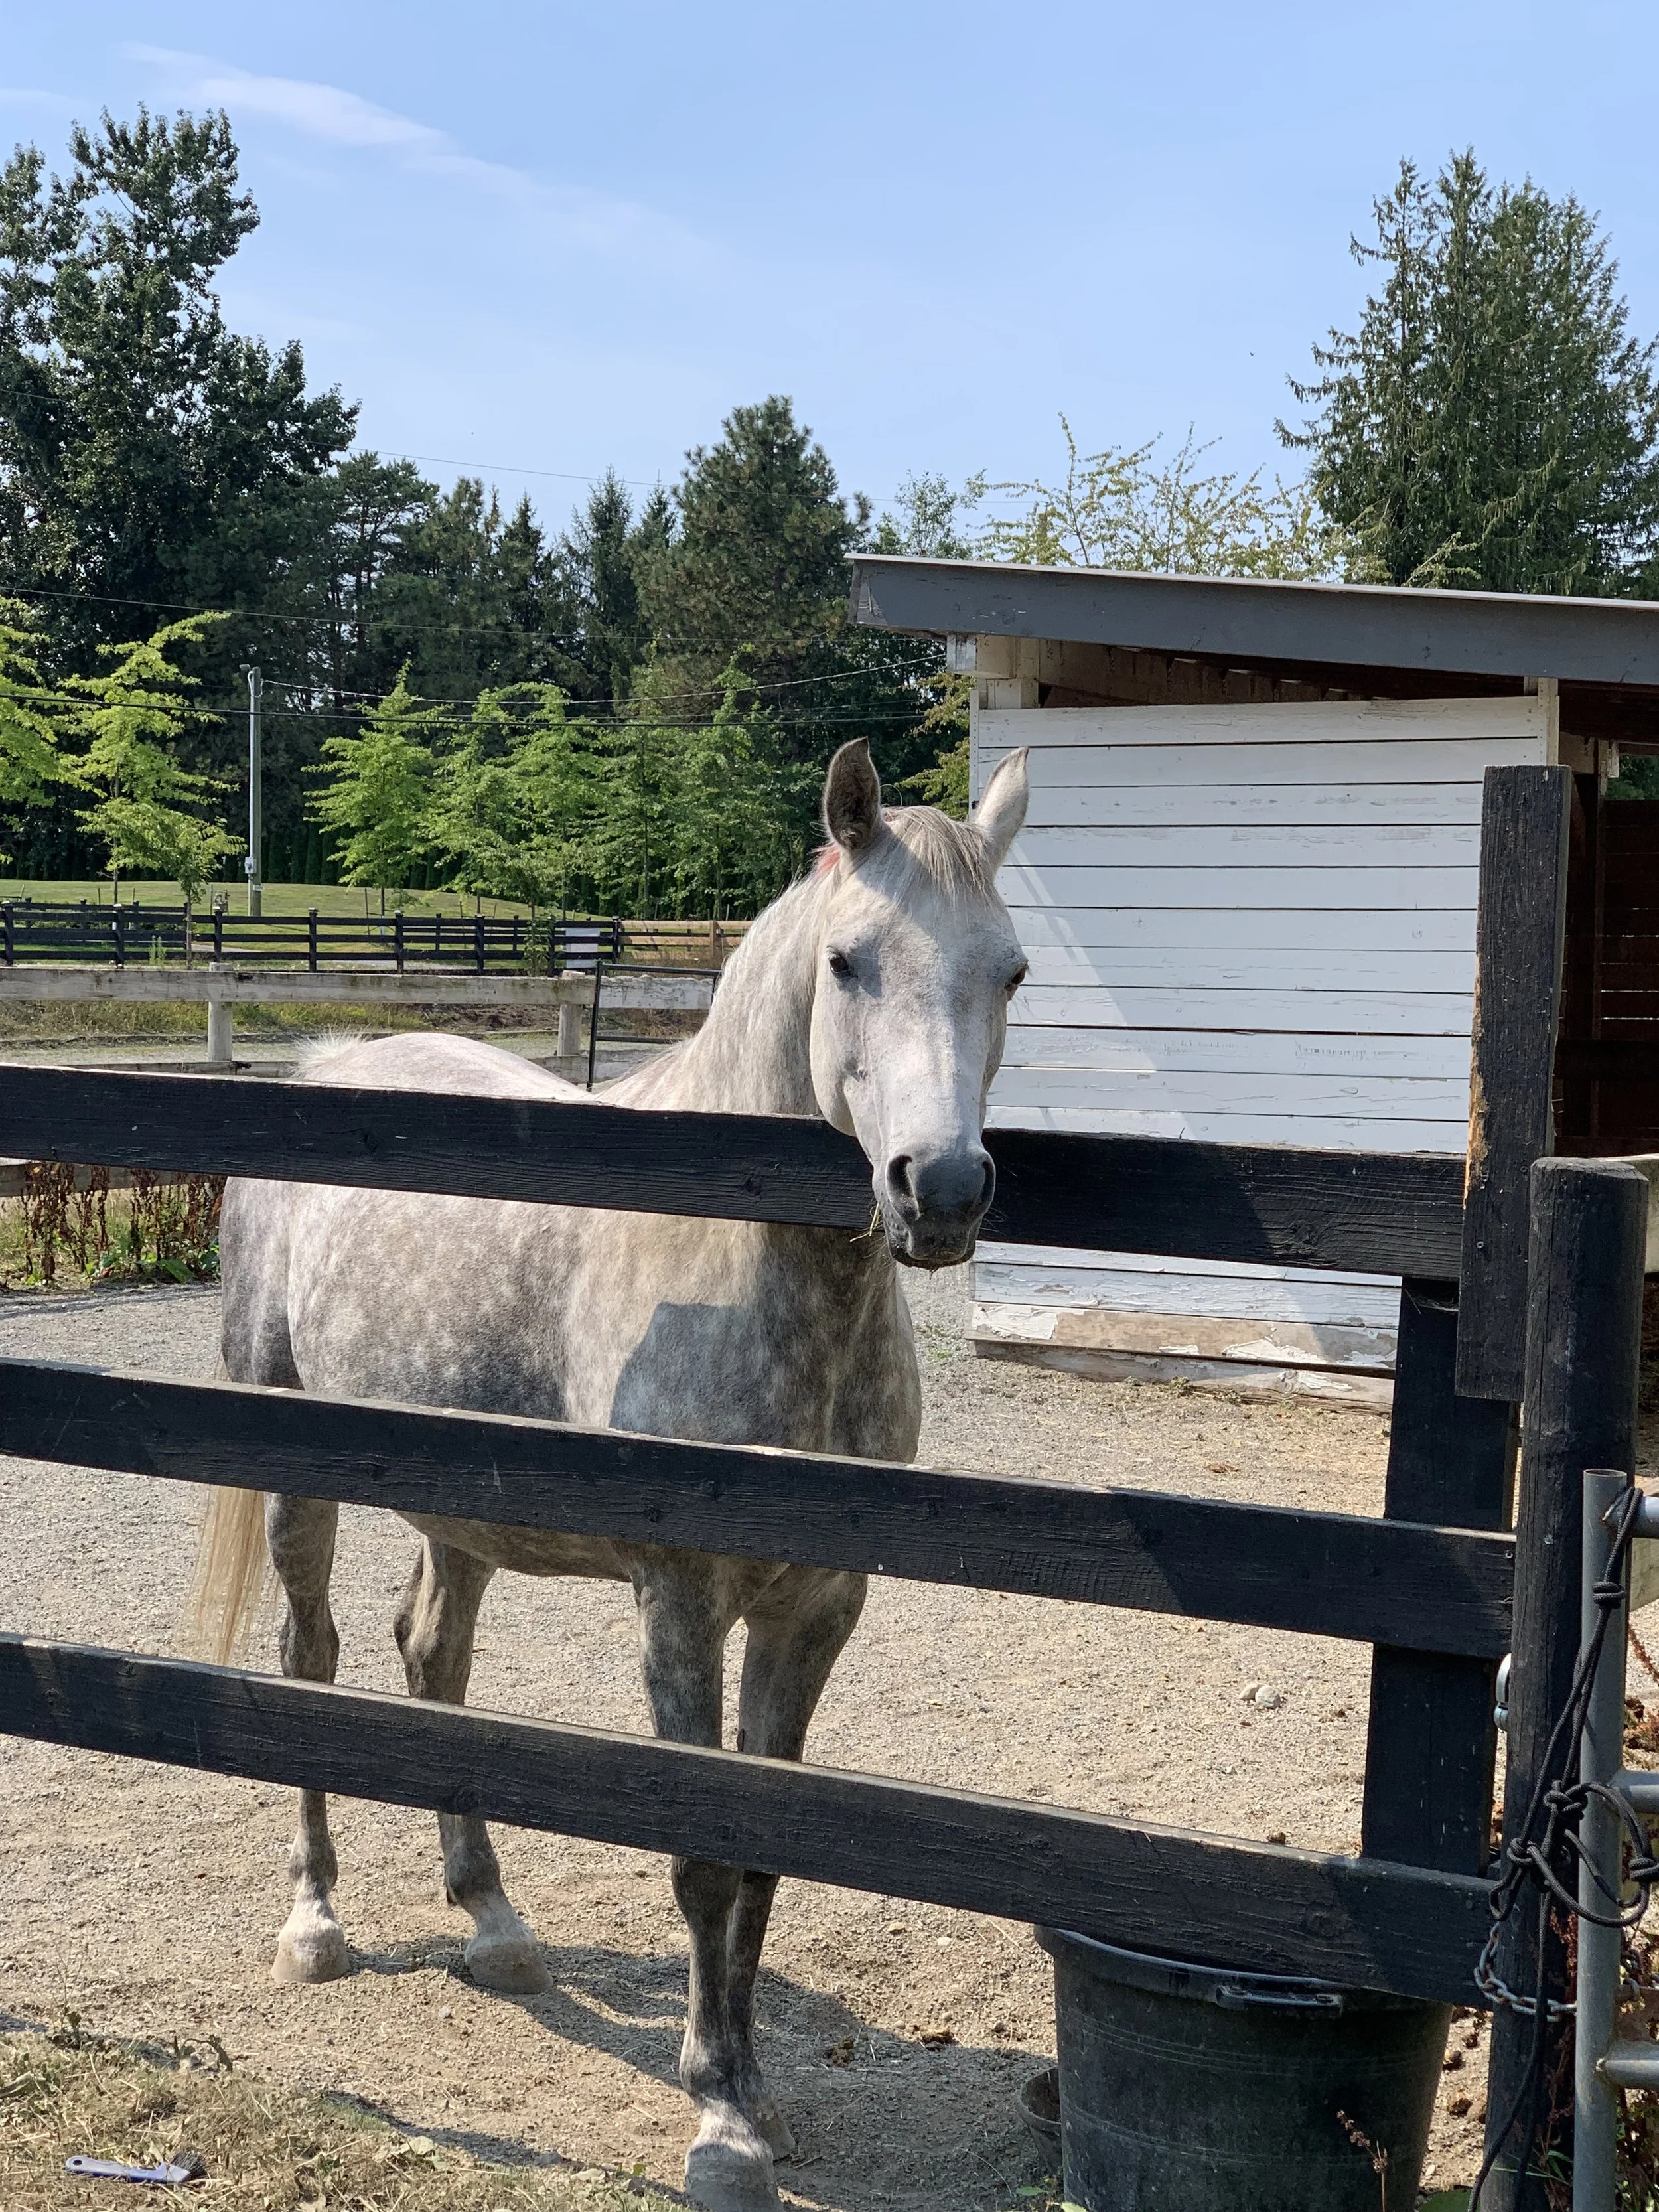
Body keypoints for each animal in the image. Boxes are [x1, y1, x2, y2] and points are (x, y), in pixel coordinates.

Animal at [192, 737, 1030, 2212]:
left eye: (1013, 971)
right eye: (849, 962)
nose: (940, 1190)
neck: (737, 1261)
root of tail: (333, 1055)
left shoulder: (818, 1605)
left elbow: (764, 1855)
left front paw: (755, 2085)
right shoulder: (678, 1599)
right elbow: (700, 1859)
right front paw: (720, 2117)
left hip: (460, 1499)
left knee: (434, 1661)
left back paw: (495, 1922)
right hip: (295, 1471)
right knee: (315, 1663)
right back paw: (316, 1921)